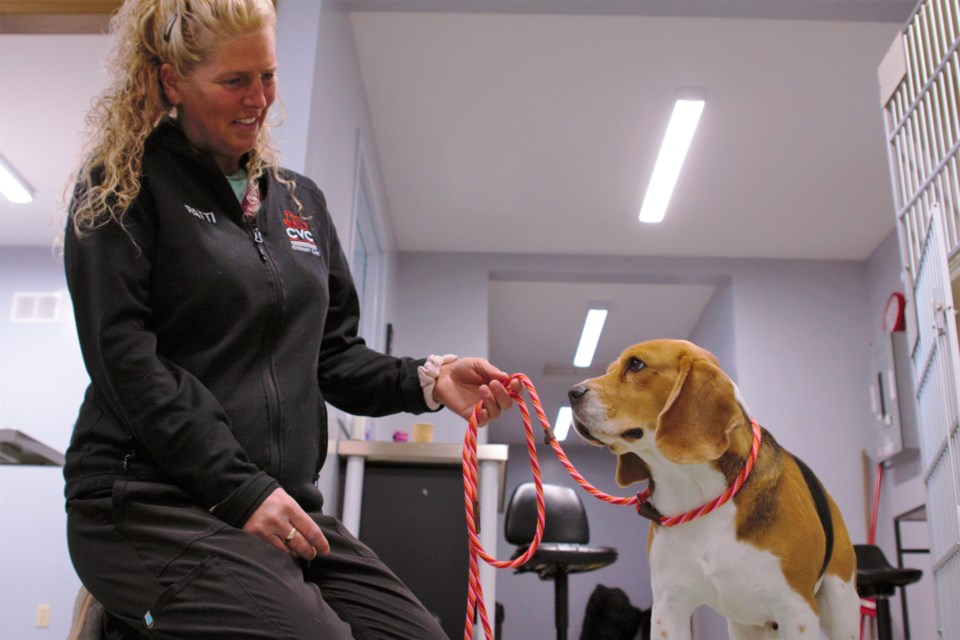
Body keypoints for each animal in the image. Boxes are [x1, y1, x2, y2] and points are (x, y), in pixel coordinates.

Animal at [568, 338, 860, 636]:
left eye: (636, 364)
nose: (572, 393)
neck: (692, 489)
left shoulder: (796, 611)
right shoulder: (667, 610)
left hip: (841, 609)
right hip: (745, 625)